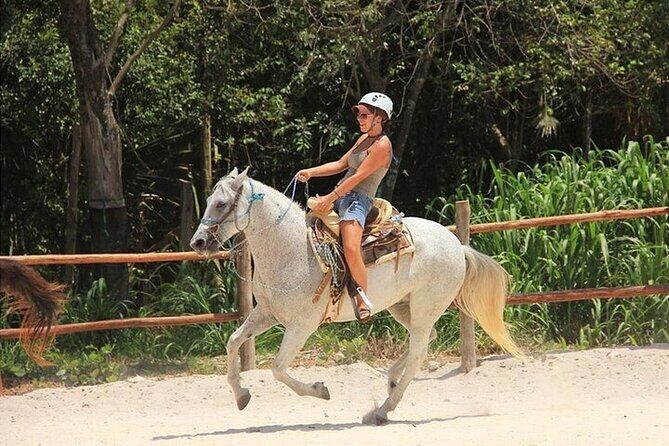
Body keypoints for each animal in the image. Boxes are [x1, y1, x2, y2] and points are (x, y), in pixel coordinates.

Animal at [190, 167, 525, 425]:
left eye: (221, 203)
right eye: (207, 201)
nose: (198, 242)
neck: (293, 248)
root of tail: (458, 245)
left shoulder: (301, 326)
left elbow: (278, 369)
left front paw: (320, 390)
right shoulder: (266, 314)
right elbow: (233, 342)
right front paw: (241, 395)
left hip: (425, 307)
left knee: (419, 353)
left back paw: (382, 410)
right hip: (404, 307)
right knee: (425, 342)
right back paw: (390, 382)